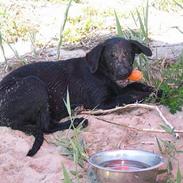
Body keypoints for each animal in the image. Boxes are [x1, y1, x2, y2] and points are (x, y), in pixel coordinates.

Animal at [0, 37, 154, 156]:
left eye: (129, 53)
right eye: (111, 56)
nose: (124, 73)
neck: (102, 72)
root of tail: (5, 120)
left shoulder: (116, 90)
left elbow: (134, 86)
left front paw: (153, 90)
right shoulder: (100, 105)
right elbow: (130, 96)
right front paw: (147, 95)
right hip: (34, 83)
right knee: (46, 126)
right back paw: (78, 121)